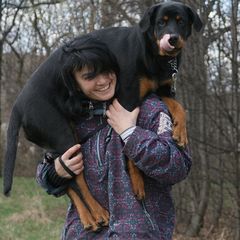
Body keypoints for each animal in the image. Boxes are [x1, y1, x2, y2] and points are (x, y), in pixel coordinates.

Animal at [3, 0, 202, 232]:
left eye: (181, 22)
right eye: (161, 22)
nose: (172, 39)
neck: (153, 56)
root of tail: (17, 105)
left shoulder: (162, 89)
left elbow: (179, 107)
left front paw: (180, 132)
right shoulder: (127, 99)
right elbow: (128, 149)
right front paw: (137, 182)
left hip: (61, 139)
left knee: (67, 180)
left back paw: (89, 219)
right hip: (61, 135)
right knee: (77, 179)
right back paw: (98, 212)